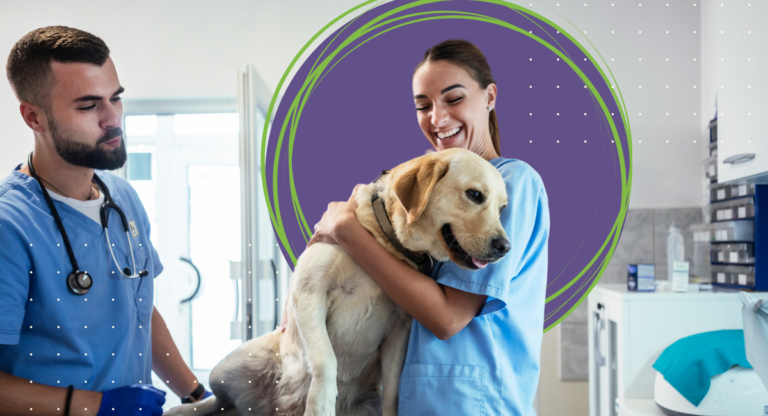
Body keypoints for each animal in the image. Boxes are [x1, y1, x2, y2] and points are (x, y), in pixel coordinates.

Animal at [164, 150, 510, 416]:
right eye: (474, 195)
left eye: (503, 208)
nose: (505, 247)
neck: (384, 241)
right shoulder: (309, 294)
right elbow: (325, 360)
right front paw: (319, 405)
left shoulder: (401, 327)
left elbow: (393, 389)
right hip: (227, 367)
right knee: (218, 402)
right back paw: (181, 408)